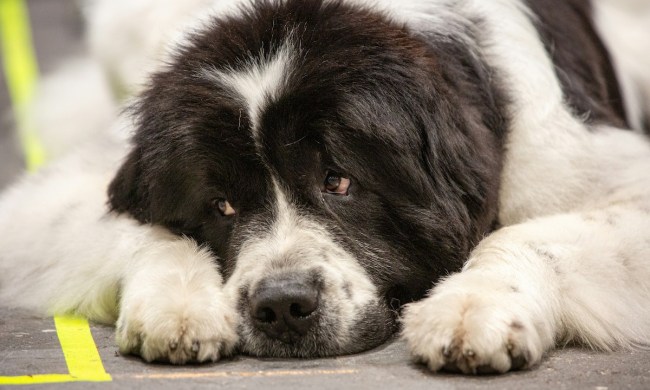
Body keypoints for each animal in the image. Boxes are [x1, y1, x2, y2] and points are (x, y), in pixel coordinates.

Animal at [1, 0, 648, 374]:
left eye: (339, 180)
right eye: (221, 204)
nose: (282, 306)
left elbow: (526, 235)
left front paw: (473, 307)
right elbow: (140, 230)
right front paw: (176, 303)